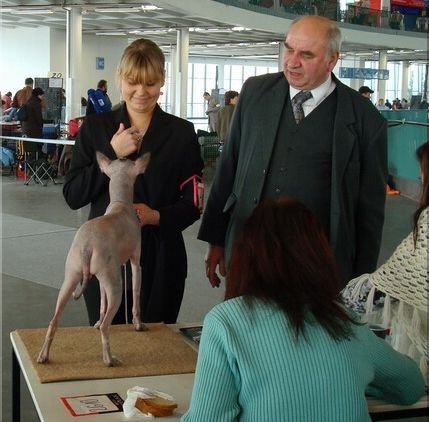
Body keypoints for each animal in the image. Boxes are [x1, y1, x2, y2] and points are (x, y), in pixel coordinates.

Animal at [37, 151, 150, 366]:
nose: (124, 155)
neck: (120, 205)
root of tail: (86, 246)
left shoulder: (101, 279)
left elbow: (102, 303)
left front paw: (97, 321)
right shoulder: (135, 264)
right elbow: (136, 297)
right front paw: (138, 324)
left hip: (72, 279)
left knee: (54, 321)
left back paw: (43, 356)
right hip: (116, 287)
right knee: (107, 326)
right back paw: (109, 359)